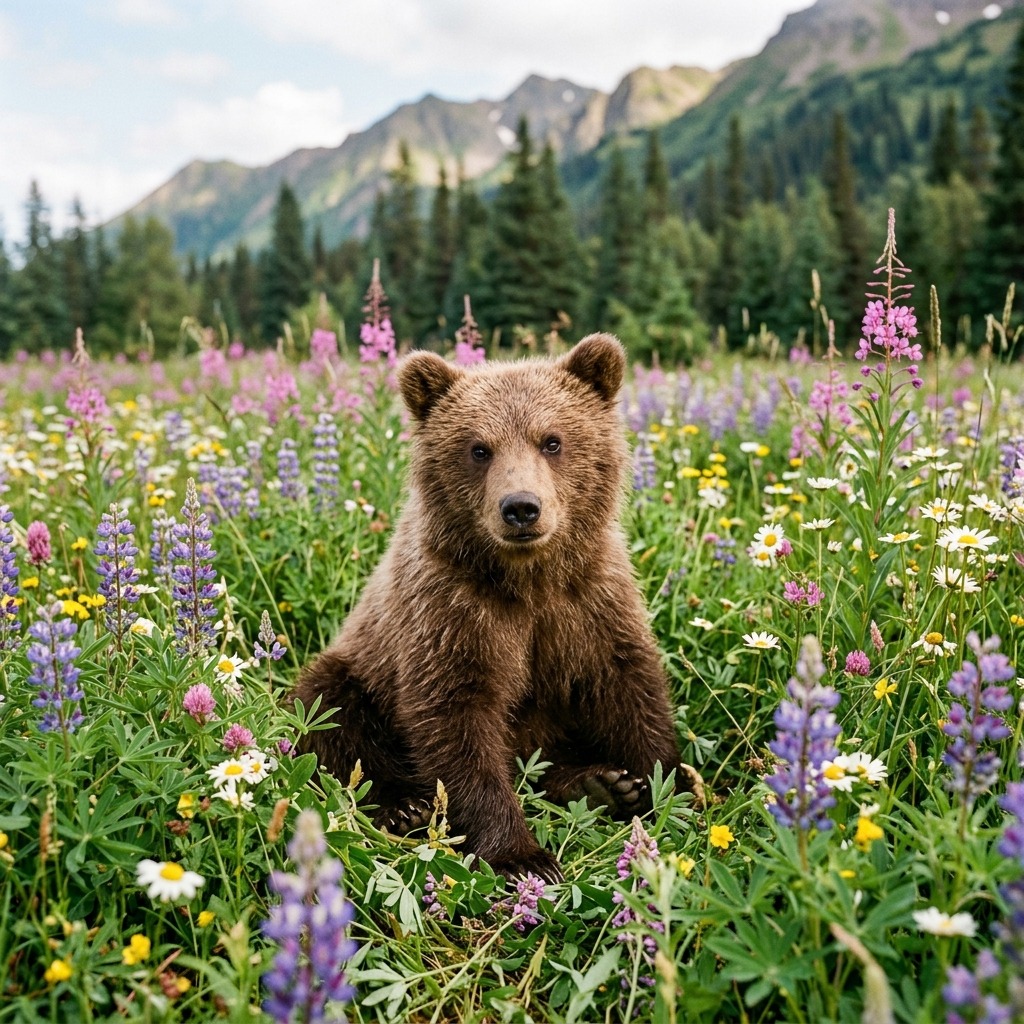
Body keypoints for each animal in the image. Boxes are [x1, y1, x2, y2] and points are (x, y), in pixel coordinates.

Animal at [293, 332, 702, 882]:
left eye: (552, 440)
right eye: (479, 448)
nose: (521, 507)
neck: (528, 579)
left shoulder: (591, 602)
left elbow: (630, 686)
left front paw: (668, 786)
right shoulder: (451, 612)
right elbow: (456, 717)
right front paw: (522, 856)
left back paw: (602, 784)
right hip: (358, 672)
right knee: (330, 713)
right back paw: (405, 808)